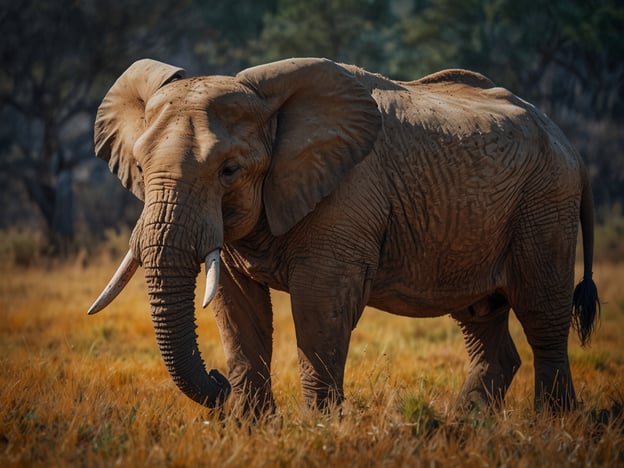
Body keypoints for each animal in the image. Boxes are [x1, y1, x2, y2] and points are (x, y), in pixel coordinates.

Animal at [88, 57, 600, 414]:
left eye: (229, 170)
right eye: (139, 168)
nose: (217, 382)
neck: (275, 109)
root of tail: (572, 146)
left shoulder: (349, 197)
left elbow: (320, 306)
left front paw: (319, 429)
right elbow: (237, 310)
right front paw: (250, 430)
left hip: (544, 204)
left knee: (542, 313)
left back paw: (551, 422)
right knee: (482, 317)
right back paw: (465, 424)